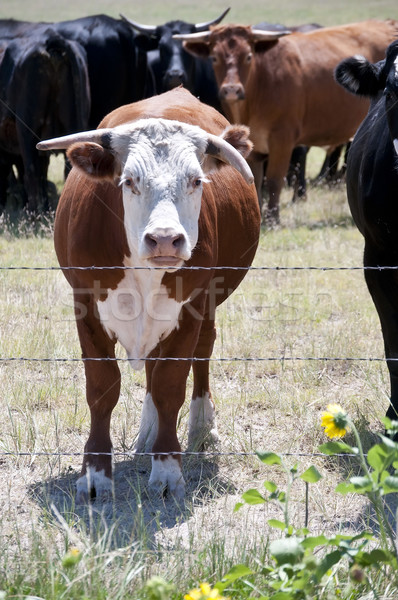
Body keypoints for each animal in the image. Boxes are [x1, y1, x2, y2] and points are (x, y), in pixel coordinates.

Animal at [38, 86, 262, 502]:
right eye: (129, 181)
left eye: (196, 181)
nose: (164, 239)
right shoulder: (86, 305)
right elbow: (103, 387)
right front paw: (95, 474)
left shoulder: (190, 308)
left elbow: (170, 384)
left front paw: (168, 470)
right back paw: (149, 431)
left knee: (201, 354)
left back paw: (201, 427)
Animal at [176, 20, 398, 225]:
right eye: (214, 57)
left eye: (248, 56)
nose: (231, 89)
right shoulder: (255, 147)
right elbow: (256, 179)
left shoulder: (282, 140)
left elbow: (274, 180)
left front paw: (273, 220)